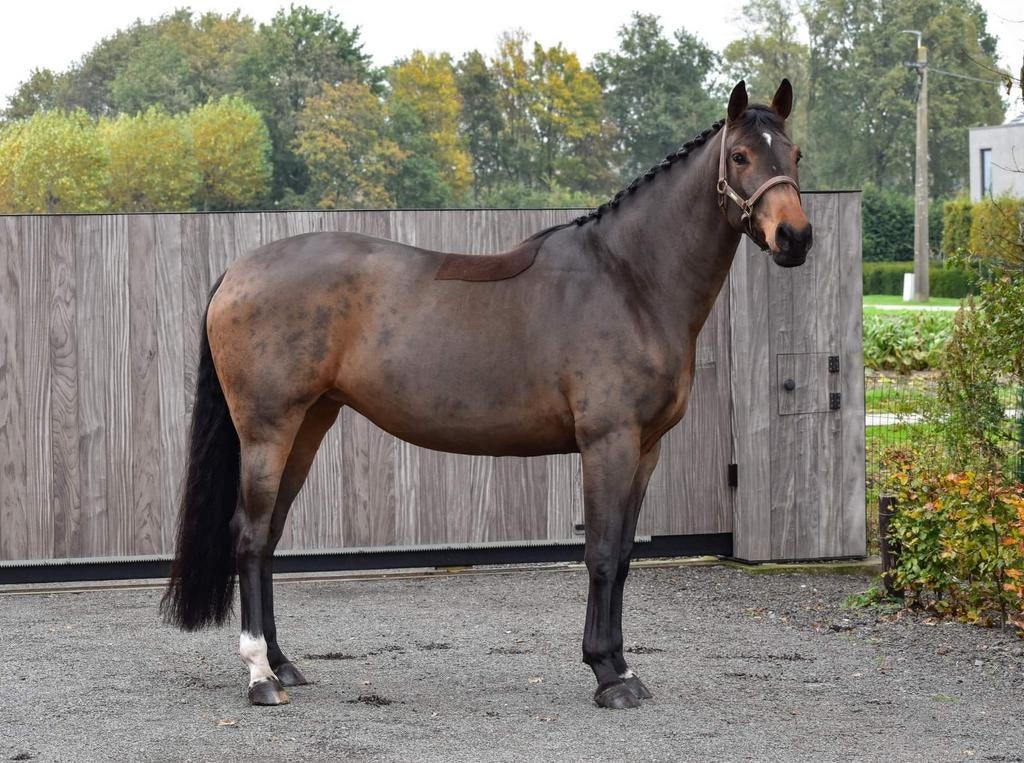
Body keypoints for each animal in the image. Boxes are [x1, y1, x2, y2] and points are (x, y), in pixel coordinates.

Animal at [161, 79, 812, 710]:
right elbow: (601, 553)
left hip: (308, 426)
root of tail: (239, 271)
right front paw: (608, 675)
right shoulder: (608, 443)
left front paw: (621, 665)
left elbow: (625, 555)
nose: (795, 237)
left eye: (796, 155)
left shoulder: (645, 450)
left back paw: (283, 663)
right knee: (248, 537)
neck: (629, 281)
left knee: (269, 537)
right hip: (267, 430)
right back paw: (258, 675)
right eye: (739, 155)